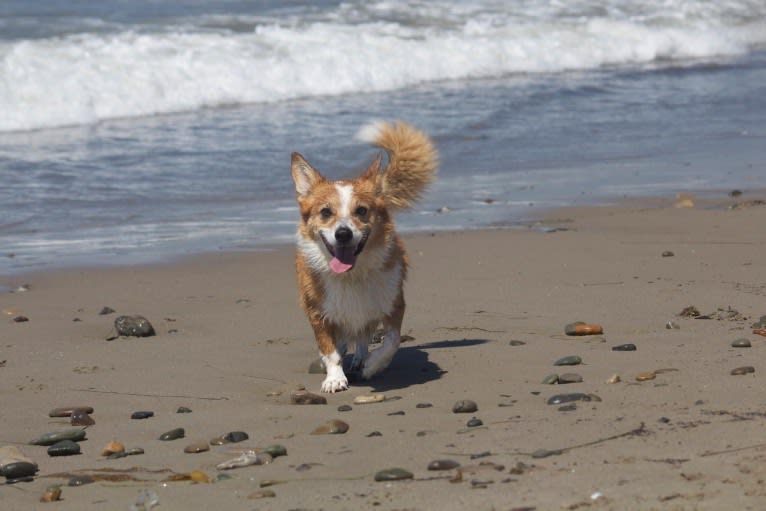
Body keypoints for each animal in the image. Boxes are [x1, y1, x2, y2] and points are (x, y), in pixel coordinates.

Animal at [292, 122, 440, 394]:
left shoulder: (394, 304)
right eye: (325, 212)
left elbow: (391, 341)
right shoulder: (318, 313)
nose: (343, 234)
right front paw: (334, 378)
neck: (352, 275)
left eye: (361, 210)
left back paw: (361, 359)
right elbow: (330, 350)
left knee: (363, 337)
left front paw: (372, 366)